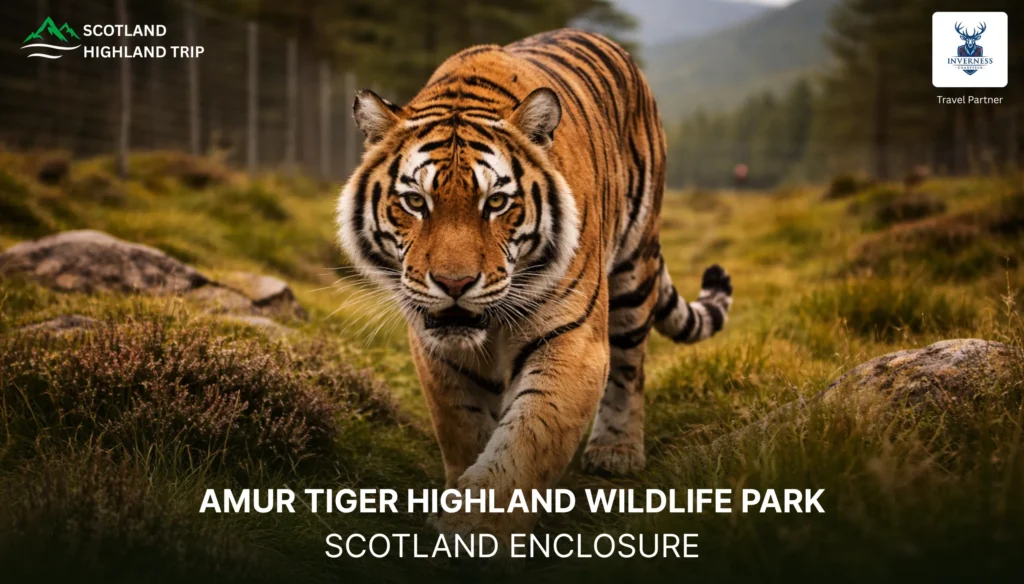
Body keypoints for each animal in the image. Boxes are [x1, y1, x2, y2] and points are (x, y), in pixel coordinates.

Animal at [336, 28, 733, 544]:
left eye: (496, 203)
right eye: (415, 202)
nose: (454, 282)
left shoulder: (572, 339)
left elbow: (528, 437)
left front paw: (475, 524)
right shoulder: (438, 349)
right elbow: (464, 429)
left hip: (633, 268)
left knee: (630, 366)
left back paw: (616, 452)